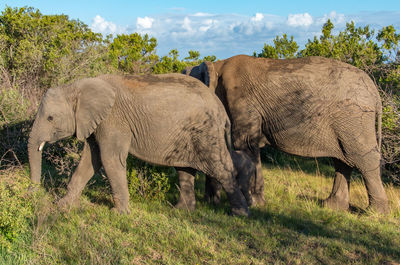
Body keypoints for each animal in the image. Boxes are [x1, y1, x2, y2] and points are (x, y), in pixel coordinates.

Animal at [28, 73, 248, 216]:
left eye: (50, 118)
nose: (33, 193)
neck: (77, 87)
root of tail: (220, 107)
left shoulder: (113, 120)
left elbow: (109, 159)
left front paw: (119, 214)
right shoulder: (96, 123)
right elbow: (91, 160)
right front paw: (63, 206)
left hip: (207, 132)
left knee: (221, 169)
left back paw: (240, 214)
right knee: (184, 170)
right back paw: (181, 210)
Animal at [185, 54, 390, 213]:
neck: (217, 64)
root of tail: (375, 93)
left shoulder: (241, 100)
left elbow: (245, 144)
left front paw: (251, 203)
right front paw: (256, 203)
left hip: (354, 119)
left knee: (362, 158)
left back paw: (375, 213)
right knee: (343, 160)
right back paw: (332, 207)